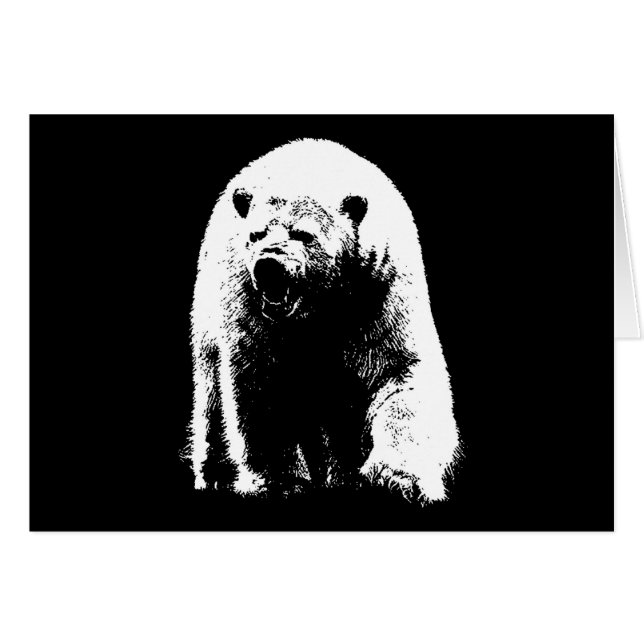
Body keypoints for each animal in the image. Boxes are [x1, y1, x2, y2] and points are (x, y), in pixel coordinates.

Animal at [188, 138, 459, 504]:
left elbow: (399, 374)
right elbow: (261, 384)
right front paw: (281, 483)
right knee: (211, 393)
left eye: (303, 234)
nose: (268, 265)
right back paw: (215, 475)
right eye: (256, 234)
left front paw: (397, 480)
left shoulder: (377, 293)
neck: (319, 309)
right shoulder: (251, 308)